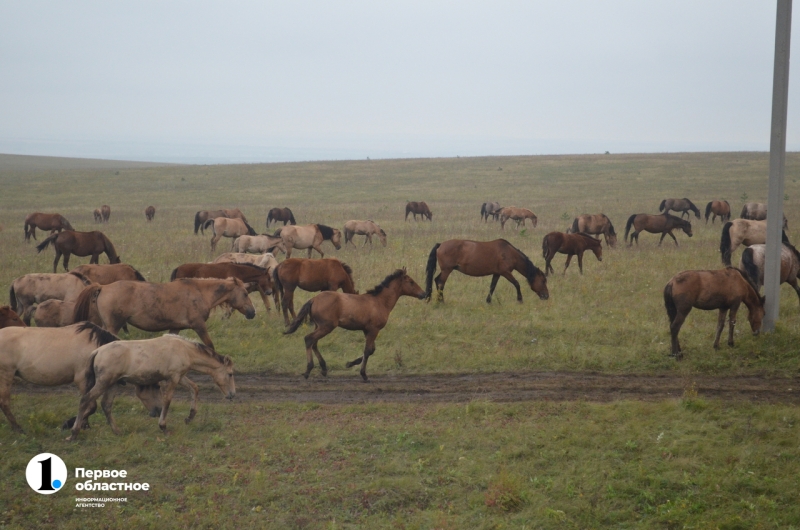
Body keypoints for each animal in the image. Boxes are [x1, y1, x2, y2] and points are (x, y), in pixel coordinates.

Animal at [0, 322, 162, 434]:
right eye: (156, 386)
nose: (159, 410)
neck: (100, 350)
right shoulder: (83, 380)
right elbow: (90, 405)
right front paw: (73, 424)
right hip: (6, 374)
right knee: (5, 402)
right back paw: (18, 428)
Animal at [67, 334, 233, 438]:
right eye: (230, 374)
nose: (232, 395)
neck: (184, 349)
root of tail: (97, 351)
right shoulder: (173, 379)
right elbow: (167, 401)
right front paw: (164, 428)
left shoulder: (179, 377)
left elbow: (194, 388)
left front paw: (189, 417)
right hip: (104, 382)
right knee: (86, 400)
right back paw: (74, 433)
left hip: (112, 384)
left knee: (106, 405)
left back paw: (117, 432)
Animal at [72, 276, 255, 350]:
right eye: (245, 293)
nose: (252, 313)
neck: (199, 292)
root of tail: (103, 287)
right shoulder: (199, 326)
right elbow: (210, 345)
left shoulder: (175, 328)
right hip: (113, 326)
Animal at [286, 268, 428, 380]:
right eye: (411, 281)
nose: (423, 294)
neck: (380, 301)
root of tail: (313, 299)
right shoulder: (374, 329)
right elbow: (367, 350)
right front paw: (363, 374)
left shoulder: (367, 330)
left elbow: (371, 350)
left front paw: (349, 363)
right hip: (326, 326)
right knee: (309, 339)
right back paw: (308, 370)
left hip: (319, 326)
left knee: (314, 343)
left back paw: (324, 369)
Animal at [424, 238, 552, 302]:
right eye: (543, 281)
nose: (546, 296)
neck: (509, 253)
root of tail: (441, 245)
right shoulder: (505, 273)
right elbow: (516, 284)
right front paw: (520, 299)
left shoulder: (497, 273)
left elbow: (492, 287)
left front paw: (488, 301)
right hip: (447, 270)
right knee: (440, 283)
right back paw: (441, 301)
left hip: (446, 270)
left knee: (436, 280)